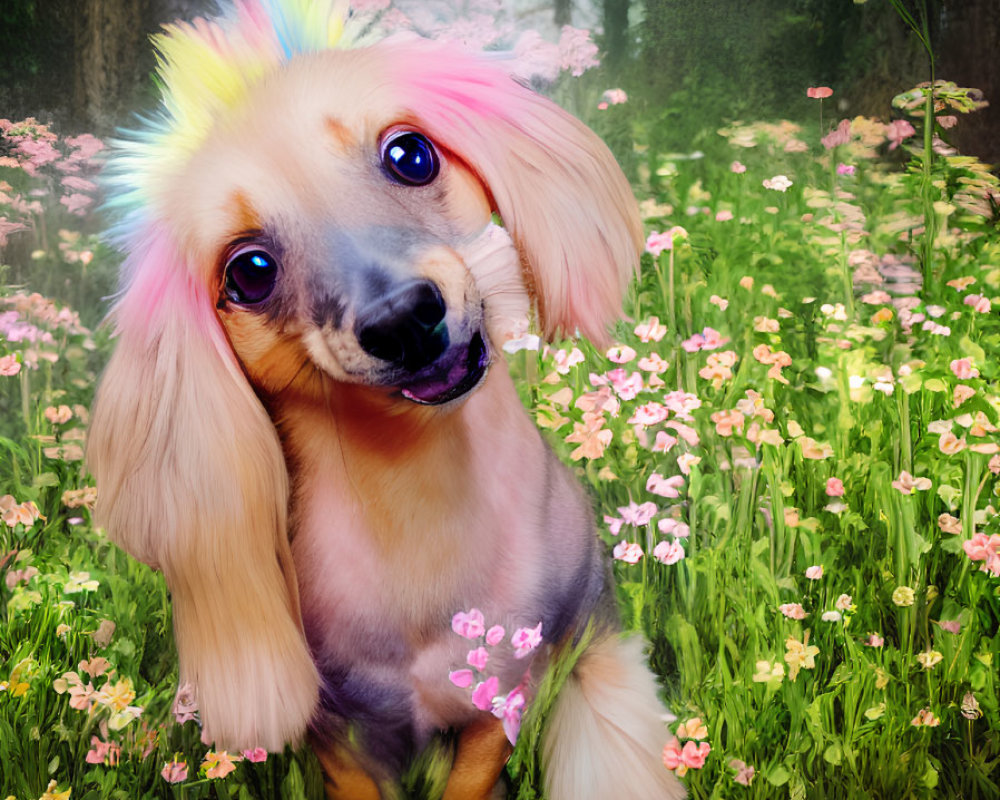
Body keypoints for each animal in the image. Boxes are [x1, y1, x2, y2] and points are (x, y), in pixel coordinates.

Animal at [90, 3, 688, 796]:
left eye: (410, 154)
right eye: (250, 271)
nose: (402, 318)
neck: (417, 494)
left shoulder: (505, 700)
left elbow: (472, 776)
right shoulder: (337, 731)